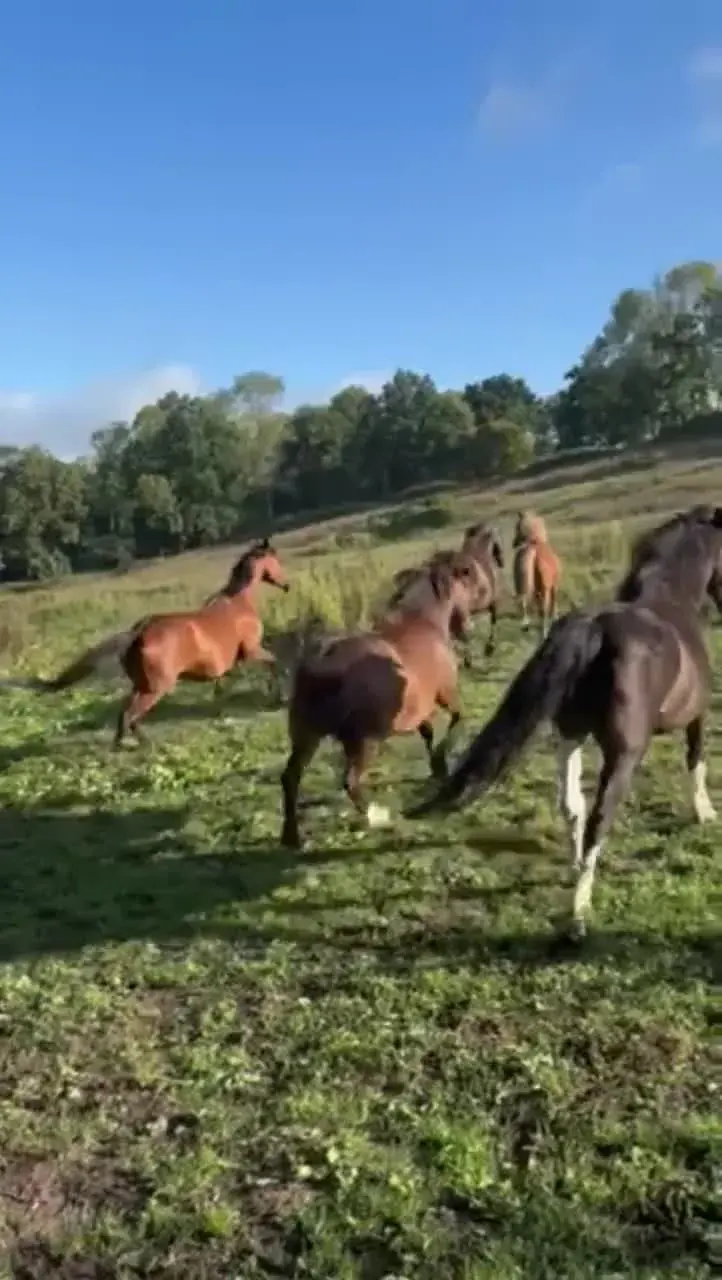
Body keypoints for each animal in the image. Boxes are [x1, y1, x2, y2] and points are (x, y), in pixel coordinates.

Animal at [1, 539, 289, 745]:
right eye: (276, 560)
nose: (286, 585)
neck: (239, 603)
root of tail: (137, 632)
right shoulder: (251, 651)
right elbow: (274, 664)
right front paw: (278, 697)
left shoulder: (232, 665)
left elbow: (224, 687)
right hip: (155, 688)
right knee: (131, 715)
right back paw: (137, 744)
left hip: (142, 685)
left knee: (126, 713)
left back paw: (129, 742)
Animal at [280, 554, 479, 849]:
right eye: (465, 584)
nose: (468, 629)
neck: (424, 622)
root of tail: (322, 663)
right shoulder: (446, 695)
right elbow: (457, 721)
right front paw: (441, 764)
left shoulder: (418, 710)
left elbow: (428, 733)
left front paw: (437, 768)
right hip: (364, 741)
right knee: (349, 781)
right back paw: (377, 816)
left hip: (307, 736)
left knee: (291, 778)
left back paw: (292, 837)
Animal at [512, 509, 561, 638]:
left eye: (517, 526)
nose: (514, 543)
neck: (536, 541)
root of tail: (533, 552)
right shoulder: (554, 586)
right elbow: (553, 604)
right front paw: (556, 617)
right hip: (544, 589)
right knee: (543, 610)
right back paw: (544, 633)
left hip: (524, 587)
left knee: (523, 603)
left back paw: (526, 625)